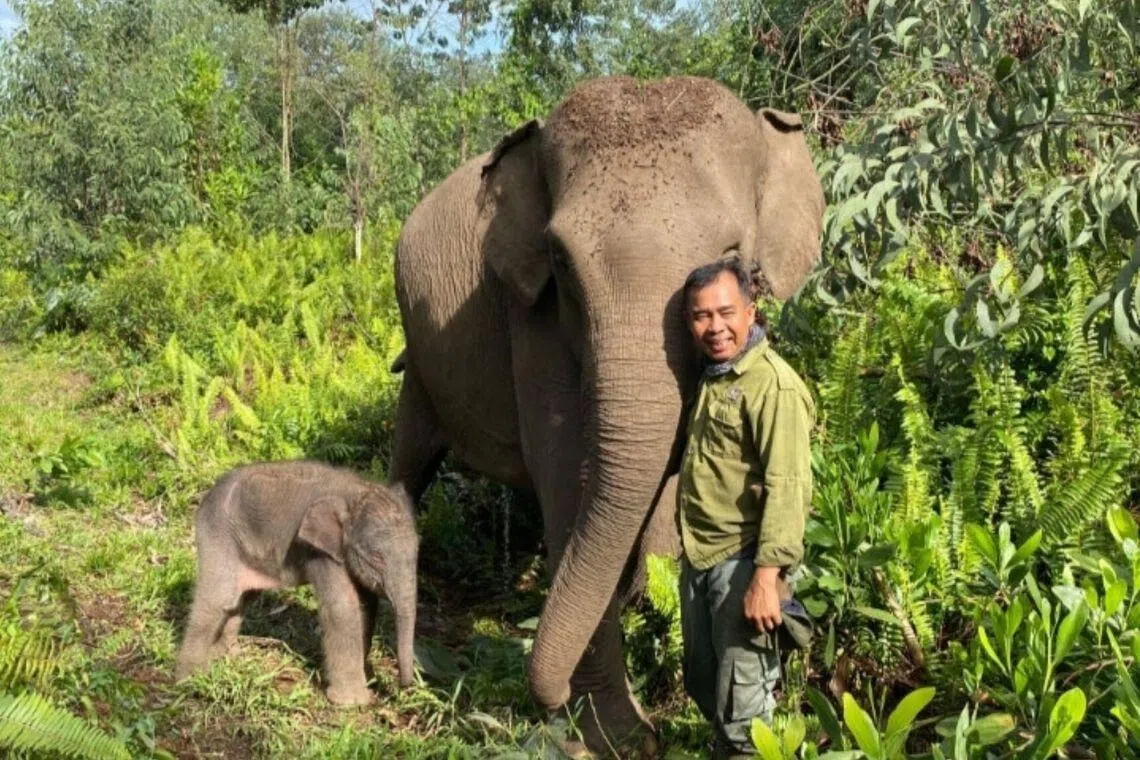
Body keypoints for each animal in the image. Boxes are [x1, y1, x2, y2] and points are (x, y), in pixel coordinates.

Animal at [175, 461, 418, 704]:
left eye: (417, 552)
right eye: (377, 557)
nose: (402, 686)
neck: (356, 491)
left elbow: (367, 605)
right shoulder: (319, 551)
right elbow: (343, 607)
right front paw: (352, 702)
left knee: (240, 599)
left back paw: (225, 656)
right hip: (218, 535)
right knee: (217, 599)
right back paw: (188, 679)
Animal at [386, 75, 824, 753]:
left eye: (732, 253)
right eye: (561, 262)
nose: (545, 699)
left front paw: (648, 606)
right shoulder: (534, 320)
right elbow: (568, 480)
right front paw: (620, 737)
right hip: (421, 353)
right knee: (410, 458)